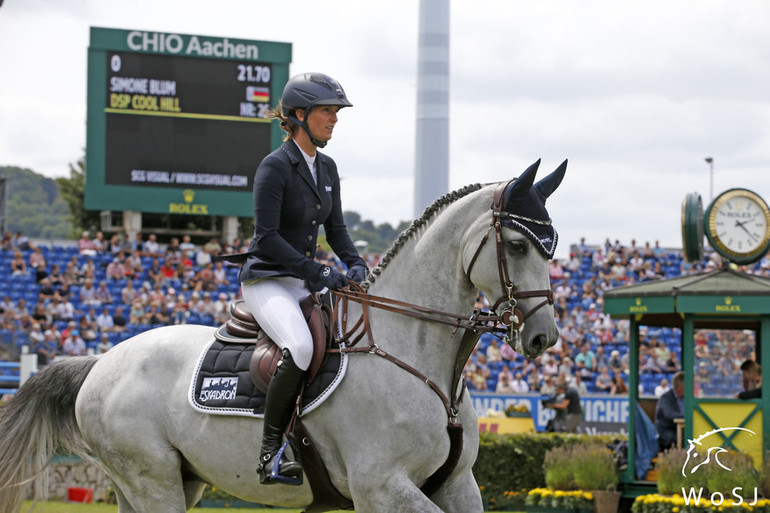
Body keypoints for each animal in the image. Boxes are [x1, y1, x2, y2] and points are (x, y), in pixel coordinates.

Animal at [0, 158, 564, 510]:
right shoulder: (383, 487)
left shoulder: (458, 485)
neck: (420, 357)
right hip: (151, 480)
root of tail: (101, 362)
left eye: (552, 246)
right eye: (517, 245)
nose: (544, 338)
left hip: (165, 482)